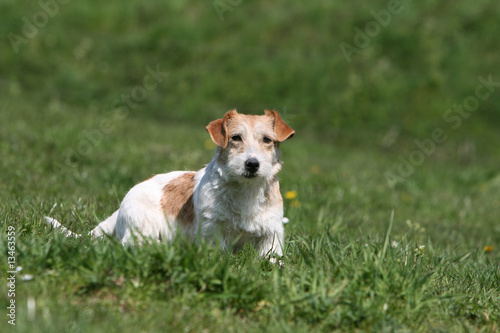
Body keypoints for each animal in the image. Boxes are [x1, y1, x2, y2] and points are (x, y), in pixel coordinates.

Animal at [45, 109, 294, 256]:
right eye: (235, 138)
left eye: (267, 140)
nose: (252, 164)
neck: (244, 191)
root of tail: (119, 211)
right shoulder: (213, 231)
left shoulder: (271, 234)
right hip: (143, 226)